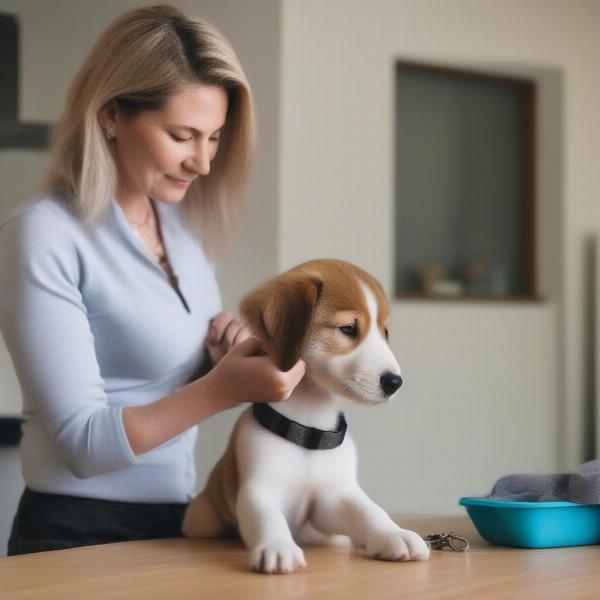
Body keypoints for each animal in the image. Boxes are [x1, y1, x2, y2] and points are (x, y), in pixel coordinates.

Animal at [183, 260, 432, 576]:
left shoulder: (333, 498)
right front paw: (277, 546)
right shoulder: (258, 488)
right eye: (349, 328)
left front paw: (393, 533)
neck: (309, 428)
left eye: (385, 332)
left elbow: (370, 510)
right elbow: (267, 517)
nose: (395, 382)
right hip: (201, 520)